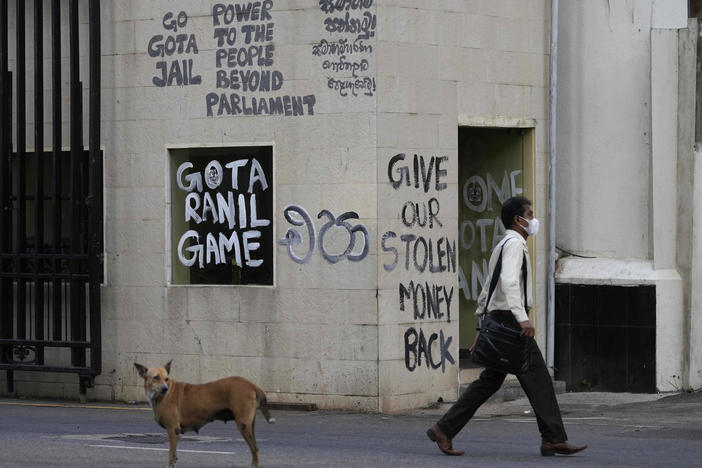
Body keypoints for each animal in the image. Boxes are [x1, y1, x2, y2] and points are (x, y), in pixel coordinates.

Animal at [135, 360, 276, 466]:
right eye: (156, 378)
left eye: (166, 379)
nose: (165, 389)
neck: (161, 396)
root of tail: (252, 385)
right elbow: (174, 456)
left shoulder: (173, 430)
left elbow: (171, 455)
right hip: (250, 425)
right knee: (254, 450)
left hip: (244, 426)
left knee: (255, 449)